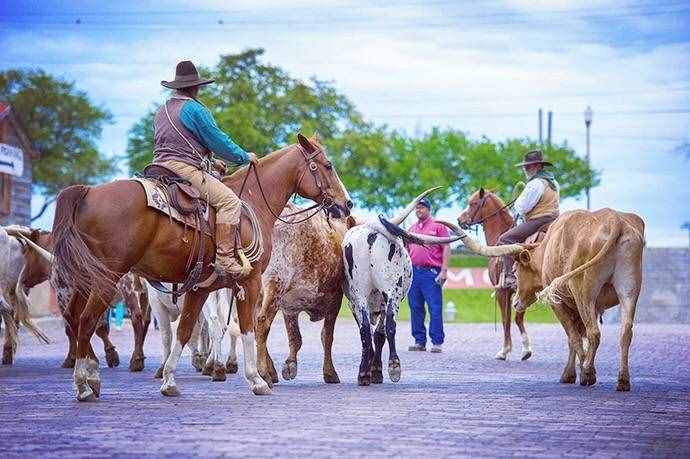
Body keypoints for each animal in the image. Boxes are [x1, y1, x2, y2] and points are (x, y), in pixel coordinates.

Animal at [49, 134, 350, 402]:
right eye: (327, 165)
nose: (346, 204)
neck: (251, 201)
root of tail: (87, 191)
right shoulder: (249, 282)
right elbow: (249, 329)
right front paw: (256, 380)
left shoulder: (201, 288)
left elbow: (184, 330)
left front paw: (169, 380)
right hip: (106, 280)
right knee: (87, 322)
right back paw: (84, 385)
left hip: (88, 281)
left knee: (78, 321)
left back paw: (91, 377)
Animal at [340, 189, 460, 386]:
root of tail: (370, 231)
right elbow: (379, 334)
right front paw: (377, 371)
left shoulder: (358, 303)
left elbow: (372, 334)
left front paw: (371, 370)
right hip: (391, 292)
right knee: (389, 324)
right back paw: (394, 366)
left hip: (361, 293)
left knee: (366, 328)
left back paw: (364, 374)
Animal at [508, 208, 644, 392]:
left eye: (515, 270)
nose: (515, 302)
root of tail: (615, 219)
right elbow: (575, 335)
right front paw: (571, 372)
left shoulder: (558, 303)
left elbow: (573, 335)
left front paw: (576, 372)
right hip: (629, 290)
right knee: (625, 332)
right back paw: (623, 380)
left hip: (584, 293)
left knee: (593, 332)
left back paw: (588, 371)